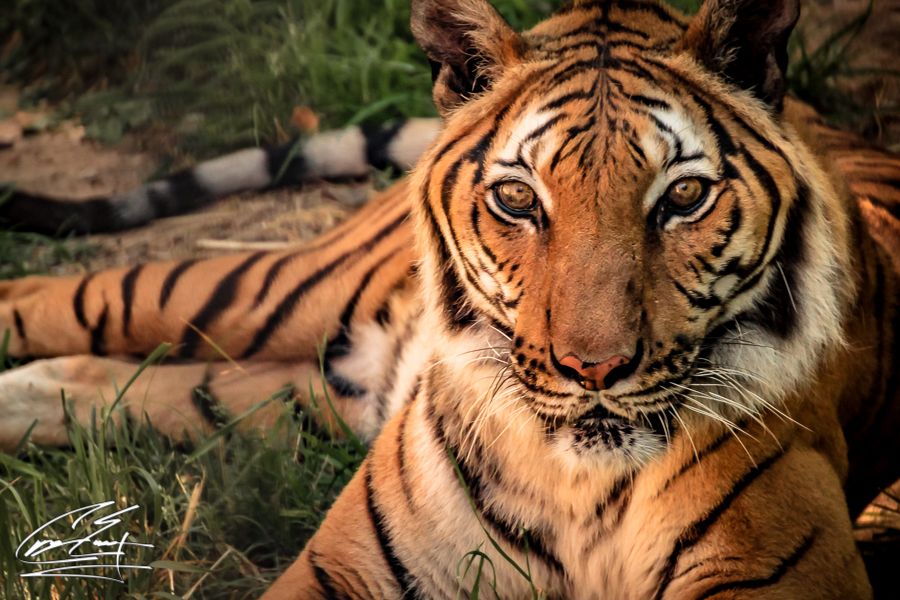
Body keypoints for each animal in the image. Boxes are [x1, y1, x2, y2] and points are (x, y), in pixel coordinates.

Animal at [0, 0, 898, 597]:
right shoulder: (333, 572)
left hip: (307, 392)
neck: (580, 491)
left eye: (682, 198)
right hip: (259, 292)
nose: (593, 370)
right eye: (517, 199)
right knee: (58, 296)